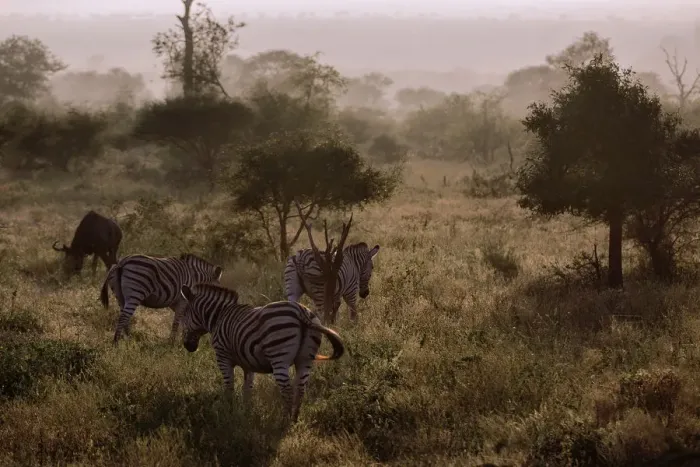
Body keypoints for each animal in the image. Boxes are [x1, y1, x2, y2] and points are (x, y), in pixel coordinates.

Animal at [179, 283, 345, 422]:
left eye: (185, 314)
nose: (187, 346)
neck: (219, 317)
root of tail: (301, 311)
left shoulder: (222, 357)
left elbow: (229, 387)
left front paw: (229, 412)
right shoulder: (248, 363)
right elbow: (247, 389)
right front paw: (245, 413)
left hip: (279, 358)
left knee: (287, 390)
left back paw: (284, 421)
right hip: (305, 360)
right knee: (300, 388)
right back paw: (294, 419)